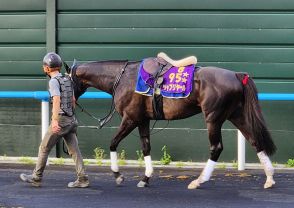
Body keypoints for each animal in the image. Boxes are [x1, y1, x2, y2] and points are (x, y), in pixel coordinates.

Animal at [63, 52, 276, 189]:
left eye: (67, 80)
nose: (68, 102)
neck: (121, 78)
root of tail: (237, 76)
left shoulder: (130, 119)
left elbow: (113, 143)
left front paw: (118, 175)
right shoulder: (143, 120)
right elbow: (146, 147)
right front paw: (146, 178)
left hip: (213, 118)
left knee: (216, 148)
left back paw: (198, 181)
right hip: (236, 115)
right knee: (255, 140)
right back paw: (269, 178)